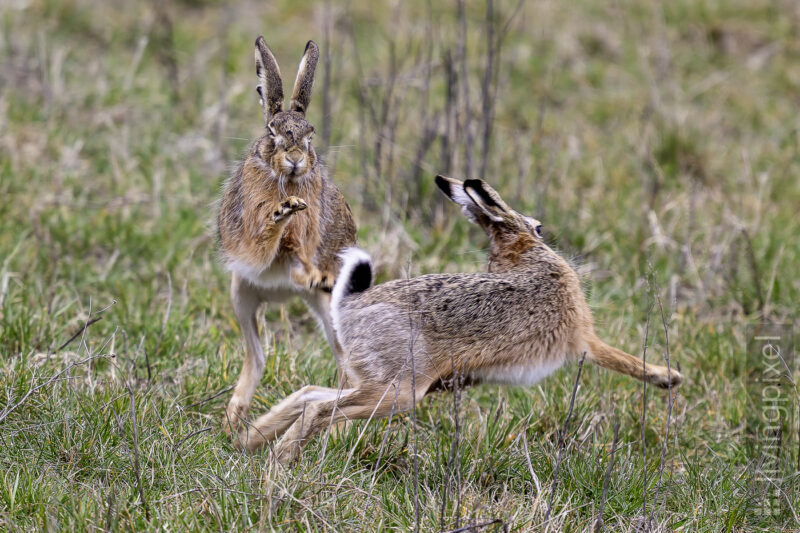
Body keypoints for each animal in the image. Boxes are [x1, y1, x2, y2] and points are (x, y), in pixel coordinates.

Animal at [217, 36, 357, 432]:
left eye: (311, 136)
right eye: (272, 133)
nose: (295, 158)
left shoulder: (310, 241)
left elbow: (300, 255)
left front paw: (311, 271)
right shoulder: (249, 243)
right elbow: (264, 243)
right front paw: (283, 210)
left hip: (329, 309)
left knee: (347, 369)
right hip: (241, 294)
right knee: (257, 356)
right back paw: (234, 421)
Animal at [239, 175, 683, 463]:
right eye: (537, 227)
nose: (542, 228)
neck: (519, 255)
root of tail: (349, 307)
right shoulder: (582, 338)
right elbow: (623, 359)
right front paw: (669, 377)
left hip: (379, 382)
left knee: (309, 393)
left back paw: (250, 440)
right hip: (400, 390)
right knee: (318, 409)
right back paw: (279, 463)